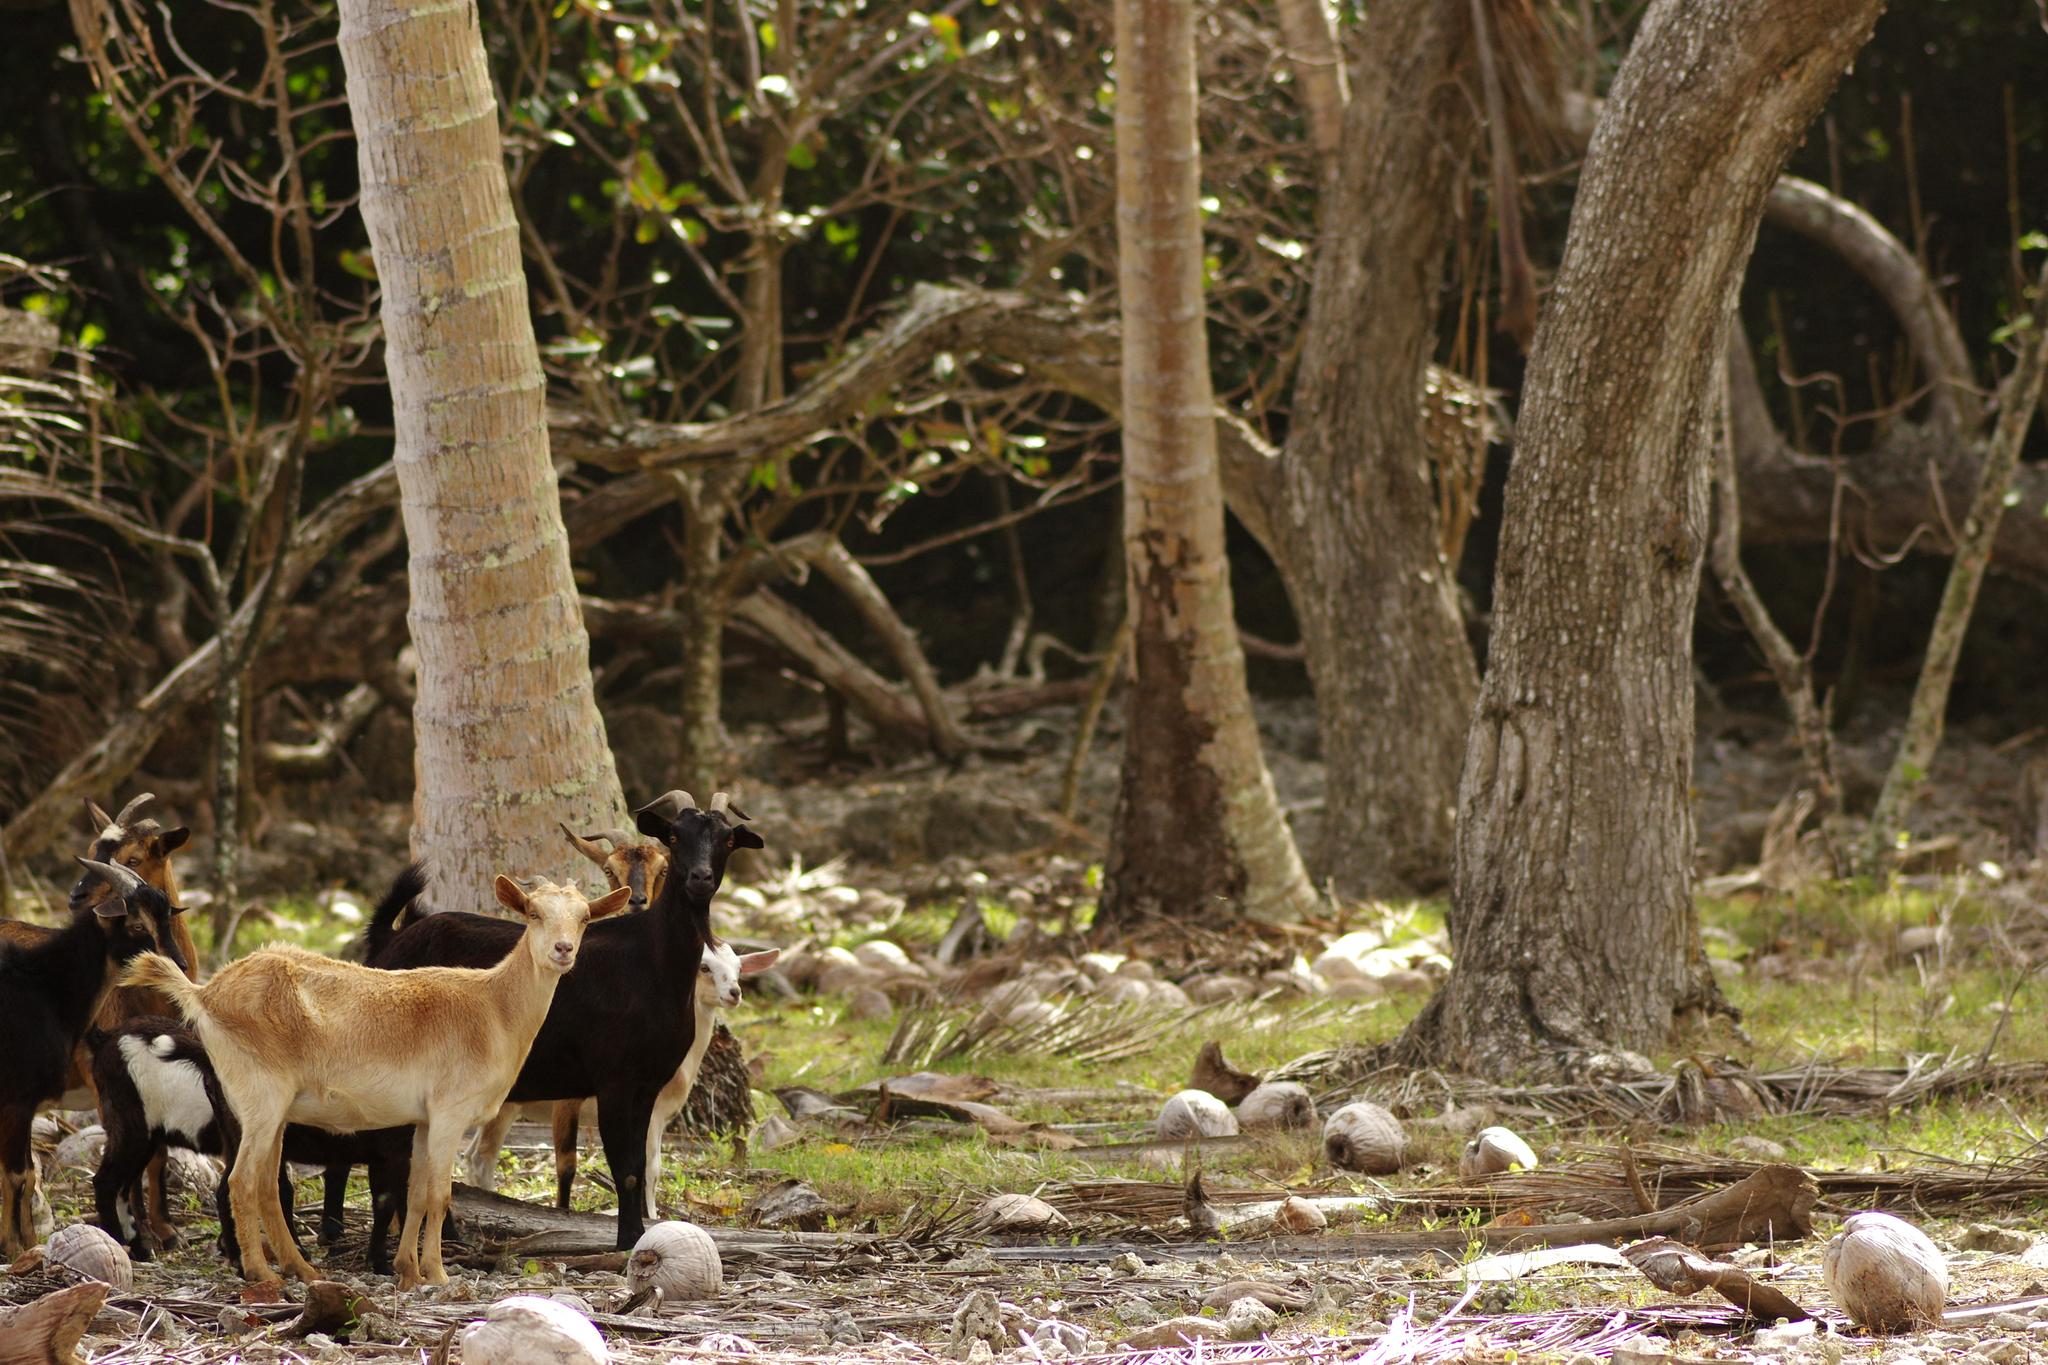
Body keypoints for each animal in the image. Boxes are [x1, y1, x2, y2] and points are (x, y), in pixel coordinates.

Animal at [0, 794, 199, 1247]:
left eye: (135, 856)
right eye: (92, 850)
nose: (77, 896)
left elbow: (157, 1153)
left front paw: (164, 1228)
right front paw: (140, 1230)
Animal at [87, 1017, 415, 1271]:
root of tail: (106, 1038)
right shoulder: (392, 1151)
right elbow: (390, 1202)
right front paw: (383, 1263)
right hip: (137, 1127)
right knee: (108, 1182)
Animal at [124, 869, 630, 1288]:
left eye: (585, 917)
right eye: (533, 912)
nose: (563, 950)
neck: (493, 1008)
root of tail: (204, 992)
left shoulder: (424, 1119)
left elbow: (418, 1192)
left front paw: (409, 1270)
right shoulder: (450, 1111)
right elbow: (440, 1193)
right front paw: (439, 1274)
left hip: (269, 1110)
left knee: (267, 1184)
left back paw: (302, 1269)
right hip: (260, 1096)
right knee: (242, 1181)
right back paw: (261, 1274)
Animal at [466, 940, 779, 1215]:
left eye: (739, 968)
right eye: (703, 967)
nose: (734, 992)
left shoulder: (658, 1115)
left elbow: (649, 1166)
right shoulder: (570, 1103)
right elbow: (587, 1166)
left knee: (473, 1156)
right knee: (482, 1156)